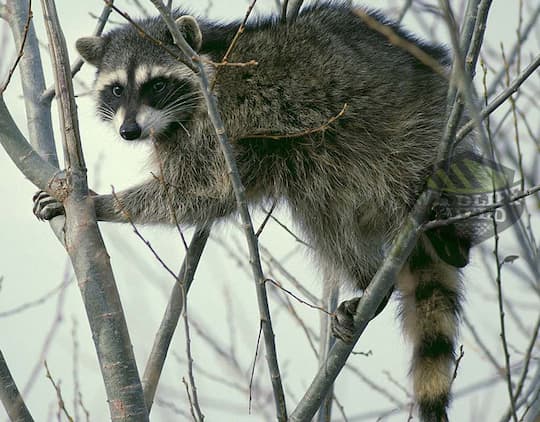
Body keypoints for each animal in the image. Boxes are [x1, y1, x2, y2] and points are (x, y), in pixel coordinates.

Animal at [34, 4, 472, 422]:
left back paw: (446, 236)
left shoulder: (221, 122)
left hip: (412, 129)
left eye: (156, 84)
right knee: (323, 215)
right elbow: (206, 196)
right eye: (116, 89)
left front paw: (100, 203)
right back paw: (368, 281)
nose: (129, 131)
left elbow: (198, 189)